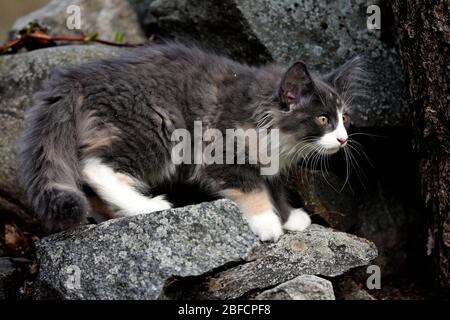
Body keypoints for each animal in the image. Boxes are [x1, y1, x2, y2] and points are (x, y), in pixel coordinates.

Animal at [18, 43, 366, 242]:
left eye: (345, 118)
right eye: (323, 119)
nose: (343, 138)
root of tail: (77, 77)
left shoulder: (271, 162)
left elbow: (273, 186)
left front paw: (288, 215)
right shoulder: (217, 148)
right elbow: (250, 186)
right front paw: (267, 222)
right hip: (157, 127)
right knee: (94, 166)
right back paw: (147, 206)